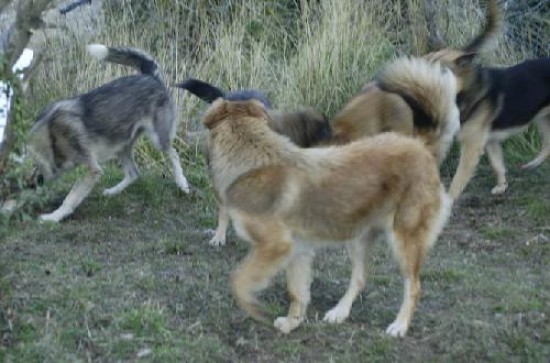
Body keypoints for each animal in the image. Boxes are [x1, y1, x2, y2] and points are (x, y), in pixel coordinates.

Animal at [28, 45, 192, 222]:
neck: (51, 137)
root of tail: (150, 76)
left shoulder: (92, 170)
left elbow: (70, 199)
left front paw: (53, 217)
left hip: (157, 140)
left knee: (173, 154)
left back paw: (182, 183)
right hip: (120, 146)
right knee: (134, 173)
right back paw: (112, 192)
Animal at [203, 99, 452, 338]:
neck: (252, 160)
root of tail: (421, 147)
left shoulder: (275, 246)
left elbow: (238, 281)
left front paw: (255, 309)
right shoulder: (297, 251)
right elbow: (297, 292)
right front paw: (292, 324)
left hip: (404, 241)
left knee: (414, 287)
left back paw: (400, 325)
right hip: (357, 237)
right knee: (360, 278)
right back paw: (339, 312)